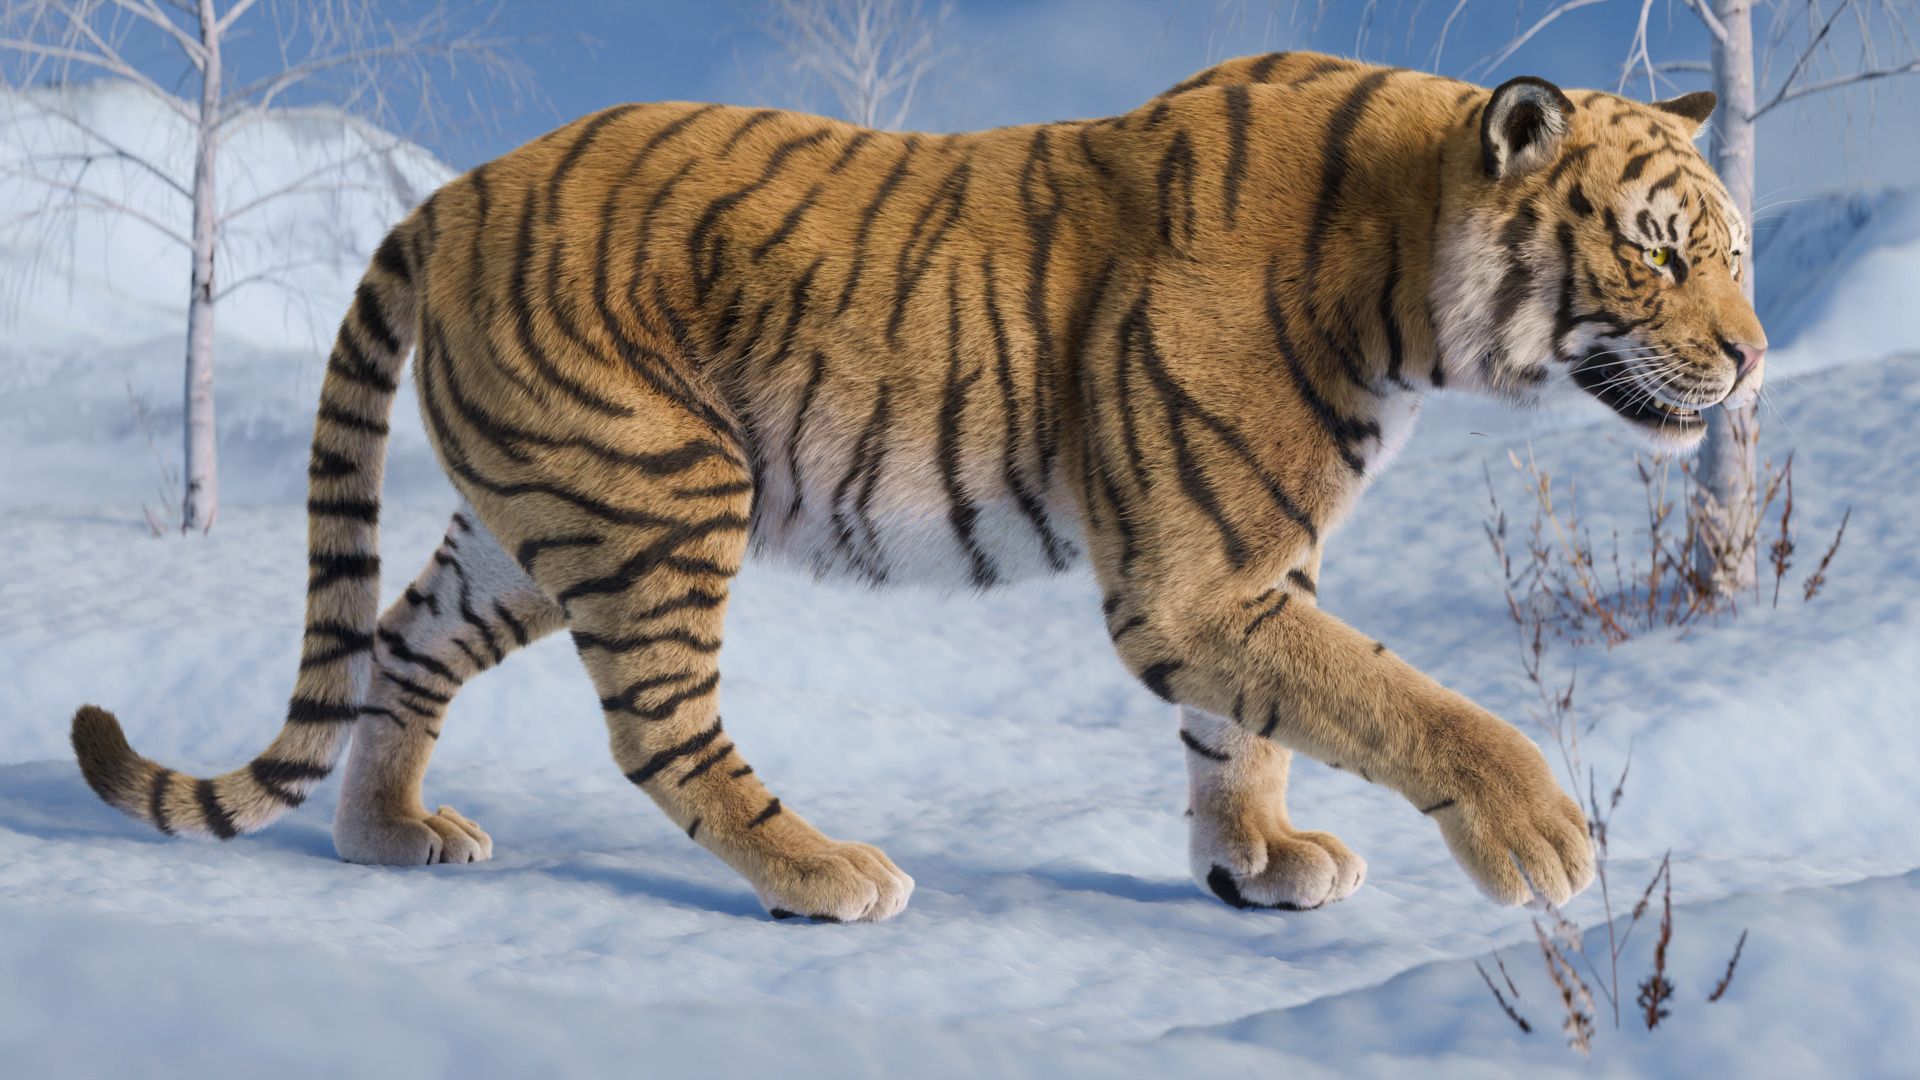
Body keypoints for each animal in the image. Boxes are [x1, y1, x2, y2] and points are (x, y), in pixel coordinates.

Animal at [71, 51, 1765, 923]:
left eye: (1736, 254)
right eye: (1662, 248)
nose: (1752, 361)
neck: (1410, 289)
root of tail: (459, 186)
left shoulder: (1246, 568)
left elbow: (1258, 728)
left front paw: (1253, 864)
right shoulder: (1195, 577)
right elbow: (1397, 699)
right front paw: (1538, 837)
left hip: (535, 516)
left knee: (399, 645)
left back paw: (388, 835)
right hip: (661, 488)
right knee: (659, 730)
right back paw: (822, 873)